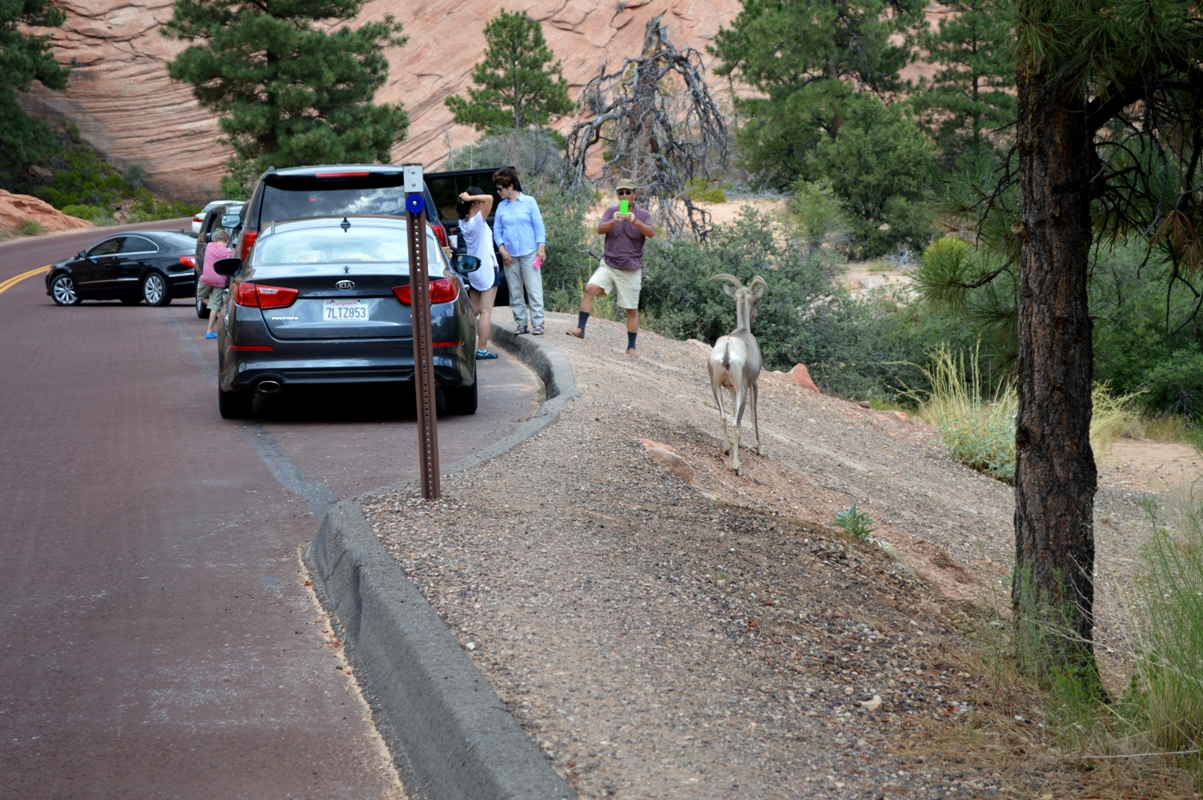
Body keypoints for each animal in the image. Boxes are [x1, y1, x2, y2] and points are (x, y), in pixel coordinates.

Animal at [707, 274, 767, 476]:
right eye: (756, 300)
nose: (755, 315)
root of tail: (727, 350)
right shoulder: (752, 385)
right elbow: (754, 415)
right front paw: (759, 449)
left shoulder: (731, 389)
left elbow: (733, 412)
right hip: (742, 390)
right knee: (735, 424)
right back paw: (737, 468)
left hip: (716, 387)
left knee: (724, 418)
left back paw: (726, 449)